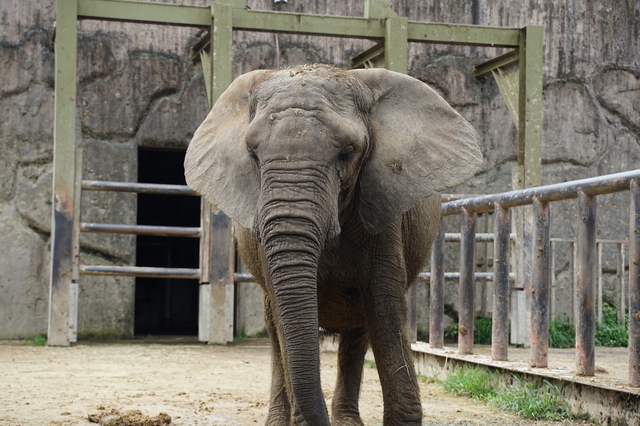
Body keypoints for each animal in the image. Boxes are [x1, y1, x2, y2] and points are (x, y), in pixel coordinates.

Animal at [184, 64, 480, 426]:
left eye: (347, 154)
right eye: (252, 154)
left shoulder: (382, 213)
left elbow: (385, 311)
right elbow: (284, 319)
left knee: (358, 332)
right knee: (275, 332)